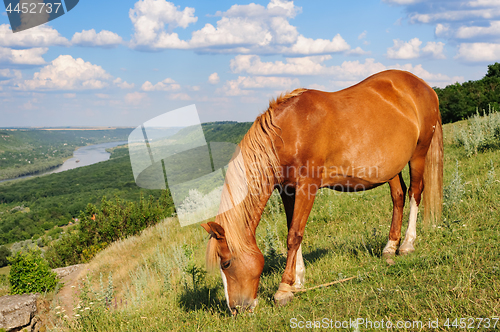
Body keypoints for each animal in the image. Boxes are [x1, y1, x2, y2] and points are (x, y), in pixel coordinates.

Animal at [201, 69, 444, 314]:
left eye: (226, 263)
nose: (236, 309)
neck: (288, 132)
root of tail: (423, 85)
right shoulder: (287, 190)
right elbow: (293, 230)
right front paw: (297, 281)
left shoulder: (307, 186)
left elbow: (294, 235)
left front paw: (284, 289)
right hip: (391, 167)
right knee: (398, 196)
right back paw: (390, 246)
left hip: (419, 153)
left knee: (414, 193)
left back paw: (407, 244)